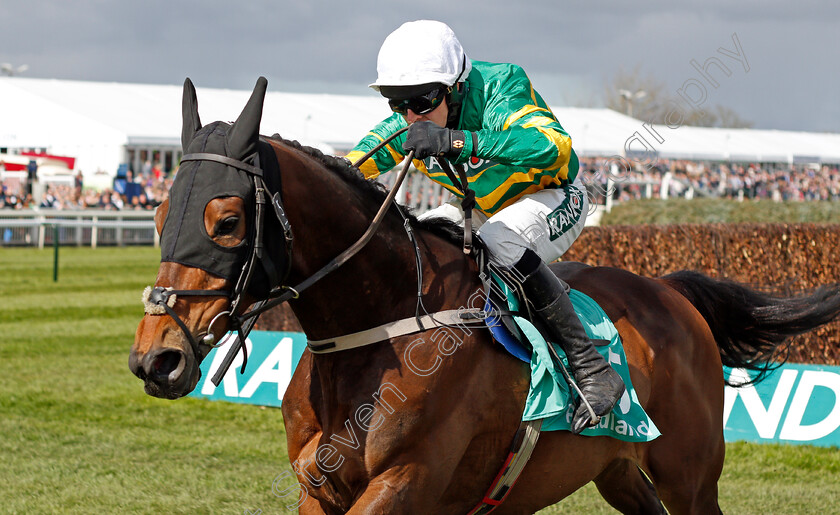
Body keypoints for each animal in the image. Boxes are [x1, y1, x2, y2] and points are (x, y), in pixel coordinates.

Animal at [128, 77, 840, 515]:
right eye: (158, 215)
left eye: (226, 221)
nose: (156, 357)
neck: (382, 325)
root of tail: (668, 291)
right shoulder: (319, 489)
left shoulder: (406, 481)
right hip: (616, 466)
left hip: (689, 473)